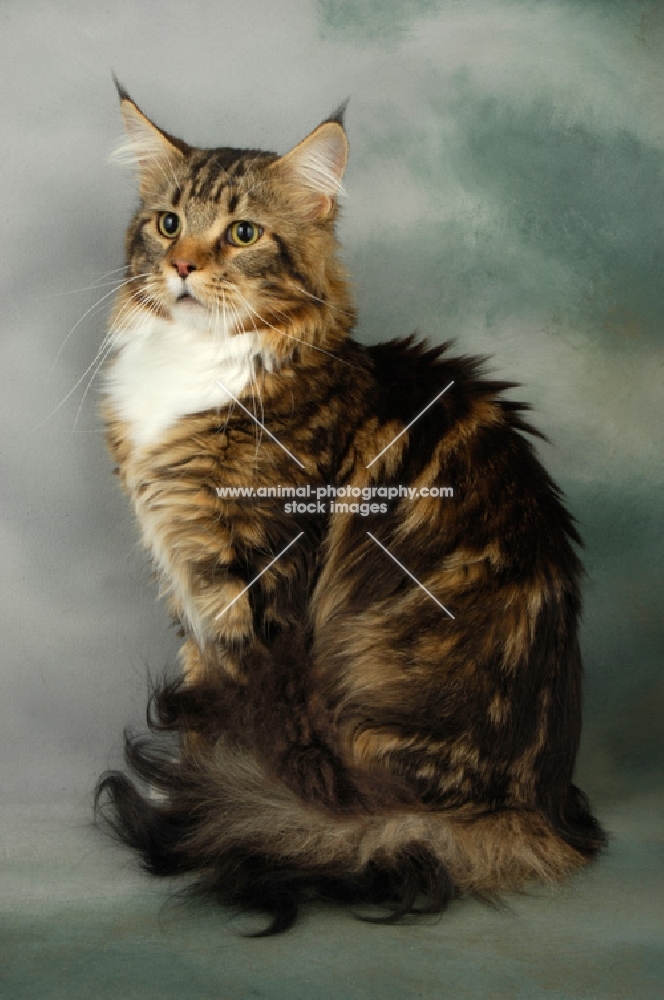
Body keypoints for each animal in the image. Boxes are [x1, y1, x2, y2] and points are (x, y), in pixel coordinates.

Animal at [96, 82, 604, 932]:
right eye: (167, 223)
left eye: (242, 234)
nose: (182, 265)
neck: (199, 365)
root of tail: (528, 811)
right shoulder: (190, 590)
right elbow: (206, 715)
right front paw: (200, 794)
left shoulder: (255, 588)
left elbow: (239, 722)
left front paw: (210, 804)